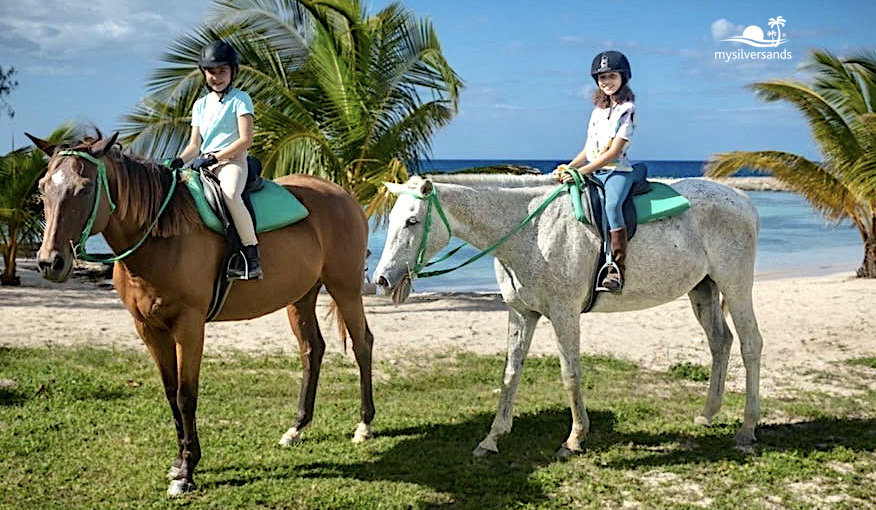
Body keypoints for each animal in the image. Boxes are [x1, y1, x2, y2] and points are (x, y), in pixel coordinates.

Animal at [26, 130, 376, 494]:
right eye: (43, 187)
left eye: (84, 188)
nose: (50, 262)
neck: (162, 234)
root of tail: (342, 194)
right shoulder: (148, 328)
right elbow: (170, 393)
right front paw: (179, 461)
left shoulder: (189, 326)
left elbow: (185, 395)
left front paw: (186, 471)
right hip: (301, 296)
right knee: (312, 350)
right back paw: (296, 428)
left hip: (345, 288)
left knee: (362, 344)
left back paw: (363, 425)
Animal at [372, 173, 764, 456]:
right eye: (391, 220)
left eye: (412, 221)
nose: (381, 279)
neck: (532, 230)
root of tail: (743, 199)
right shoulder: (522, 314)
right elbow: (510, 373)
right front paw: (492, 438)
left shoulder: (564, 314)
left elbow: (570, 374)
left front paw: (575, 439)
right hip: (703, 288)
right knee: (720, 342)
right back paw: (707, 414)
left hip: (736, 285)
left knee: (750, 345)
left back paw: (747, 430)